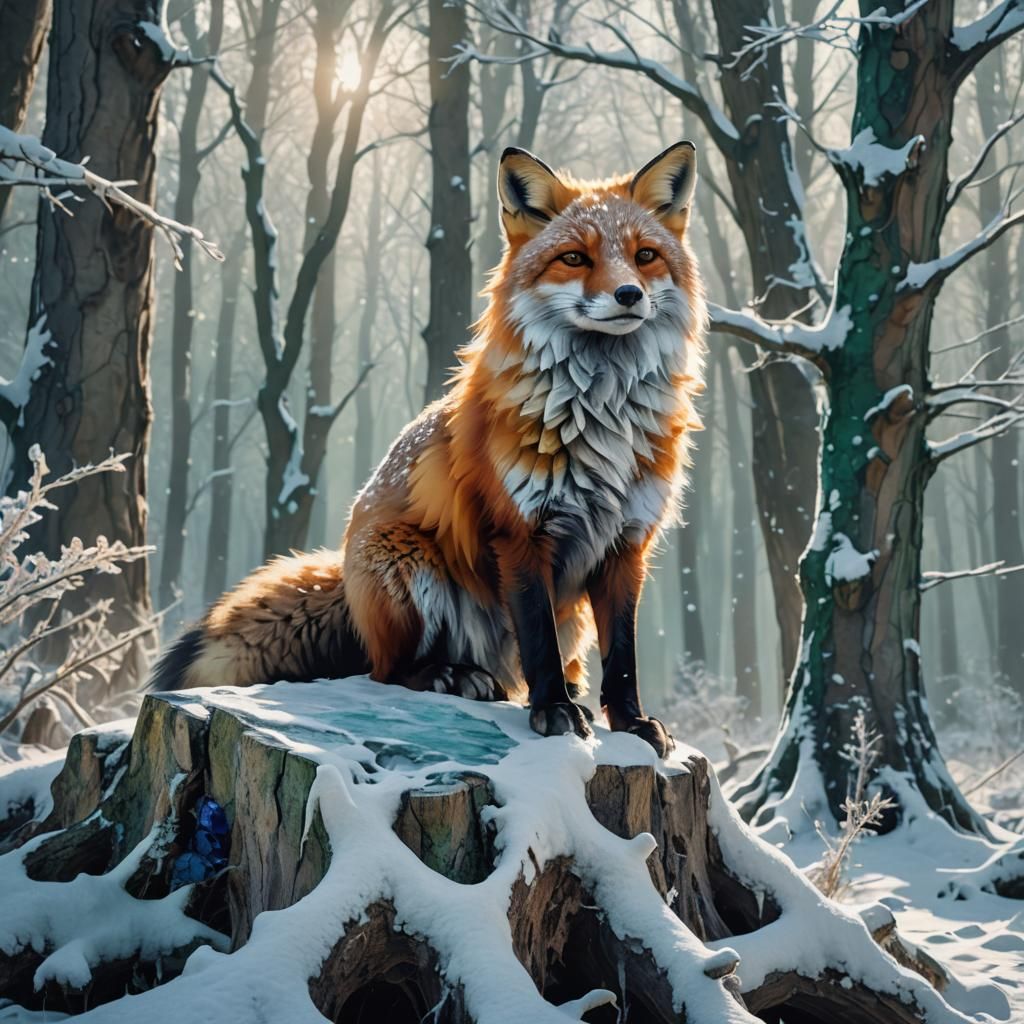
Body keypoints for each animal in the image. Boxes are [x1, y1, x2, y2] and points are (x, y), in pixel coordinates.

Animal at [152, 141, 707, 757]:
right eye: (575, 259)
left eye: (645, 255)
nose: (629, 294)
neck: (602, 416)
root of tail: (345, 574)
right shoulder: (519, 533)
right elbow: (538, 641)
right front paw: (554, 713)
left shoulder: (627, 544)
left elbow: (623, 656)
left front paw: (631, 724)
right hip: (407, 563)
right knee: (386, 671)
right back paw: (454, 677)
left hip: (568, 620)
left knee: (532, 669)